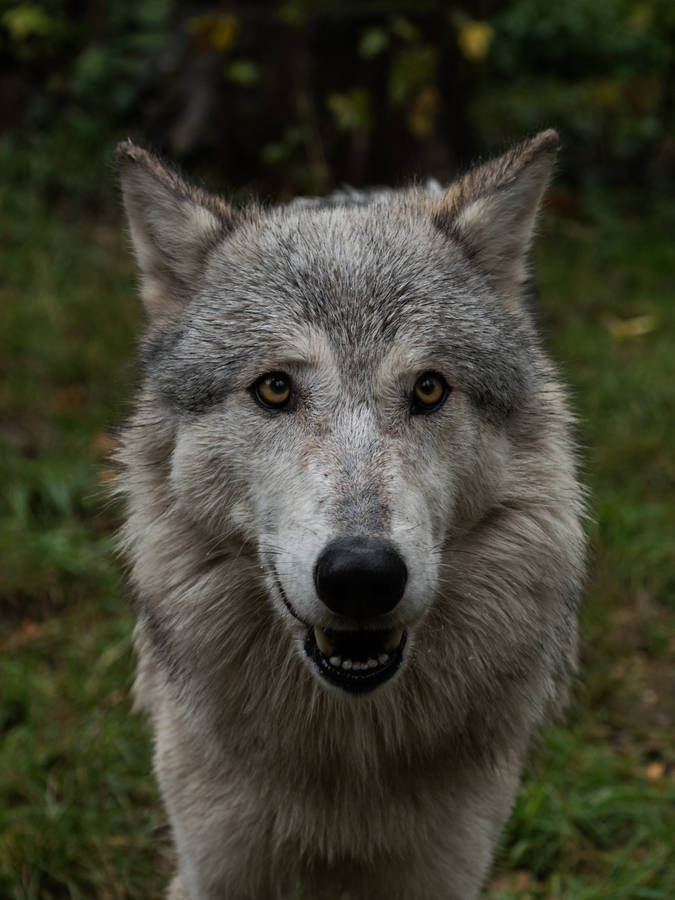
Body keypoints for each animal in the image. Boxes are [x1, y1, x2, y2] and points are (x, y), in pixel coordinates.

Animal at [115, 129, 586, 900]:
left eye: (428, 389)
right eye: (275, 388)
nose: (362, 576)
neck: (346, 759)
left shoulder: (445, 871)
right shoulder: (214, 866)